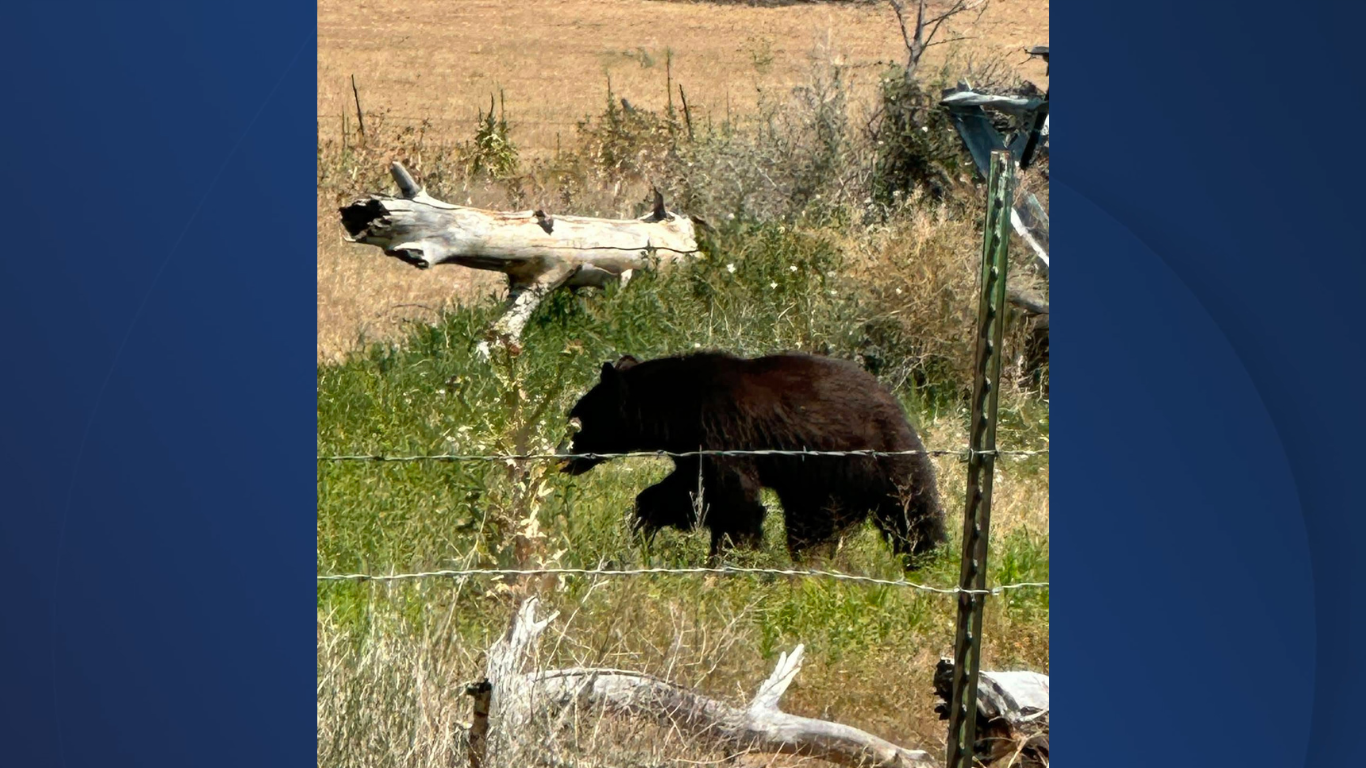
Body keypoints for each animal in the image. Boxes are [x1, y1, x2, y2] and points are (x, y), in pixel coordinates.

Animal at [559, 351, 947, 569]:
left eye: (577, 417)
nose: (564, 456)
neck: (674, 405)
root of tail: (897, 404)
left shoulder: (721, 430)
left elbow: (733, 499)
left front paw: (730, 558)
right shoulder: (693, 450)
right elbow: (686, 493)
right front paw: (642, 525)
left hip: (876, 457)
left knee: (911, 511)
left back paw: (926, 559)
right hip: (819, 483)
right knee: (811, 527)